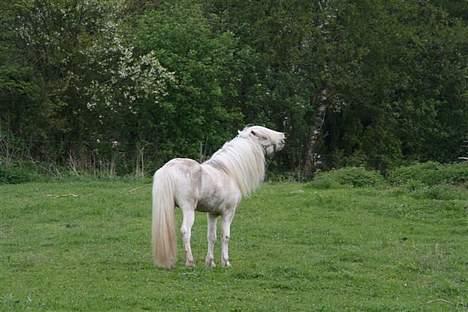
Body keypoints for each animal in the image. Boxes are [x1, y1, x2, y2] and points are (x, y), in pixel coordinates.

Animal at [152, 125, 288, 270]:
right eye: (264, 136)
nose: (283, 137)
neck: (227, 171)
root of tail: (168, 168)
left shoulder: (212, 214)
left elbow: (212, 237)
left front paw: (210, 262)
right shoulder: (228, 212)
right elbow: (225, 236)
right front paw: (226, 262)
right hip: (188, 209)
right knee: (185, 231)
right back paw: (190, 262)